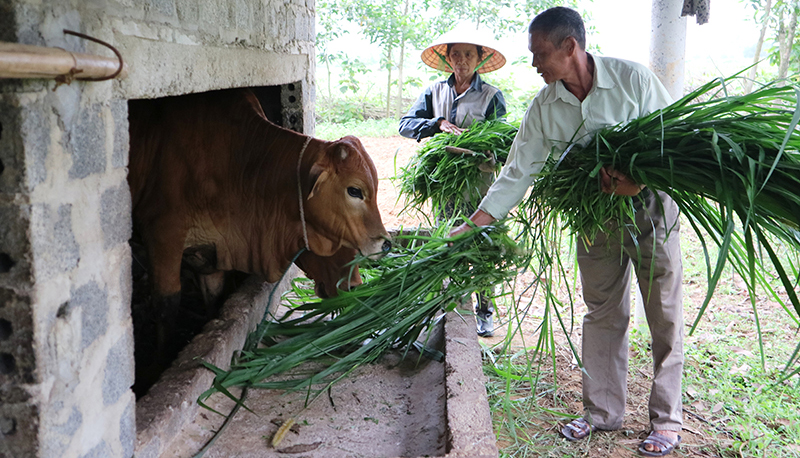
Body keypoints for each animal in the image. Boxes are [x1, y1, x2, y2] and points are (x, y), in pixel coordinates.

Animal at [126, 88, 392, 362]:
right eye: (354, 190)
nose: (384, 244)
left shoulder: (212, 253)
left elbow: (215, 298)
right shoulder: (162, 236)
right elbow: (166, 305)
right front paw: (162, 359)